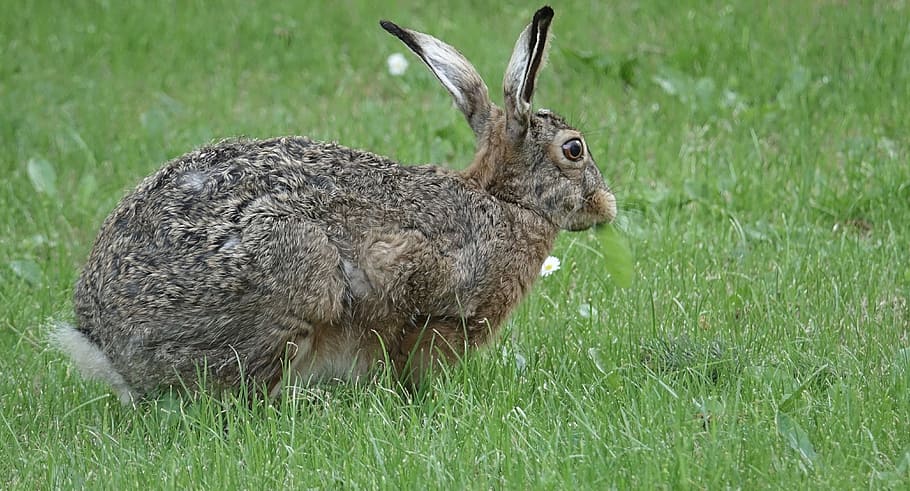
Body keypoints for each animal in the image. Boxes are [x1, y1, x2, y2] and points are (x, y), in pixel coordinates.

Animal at [53, 5, 616, 404]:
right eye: (574, 150)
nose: (607, 205)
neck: (503, 199)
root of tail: (103, 342)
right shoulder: (421, 295)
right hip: (299, 278)